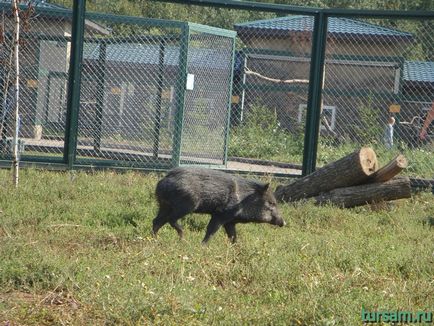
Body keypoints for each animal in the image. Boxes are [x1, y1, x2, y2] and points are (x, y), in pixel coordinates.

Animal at [152, 168, 284, 242]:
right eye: (271, 203)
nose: (284, 222)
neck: (243, 199)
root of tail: (164, 180)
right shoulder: (220, 215)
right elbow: (211, 231)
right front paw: (203, 246)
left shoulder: (230, 222)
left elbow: (233, 237)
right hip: (185, 206)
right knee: (171, 219)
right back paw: (183, 238)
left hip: (164, 206)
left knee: (157, 221)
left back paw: (155, 240)